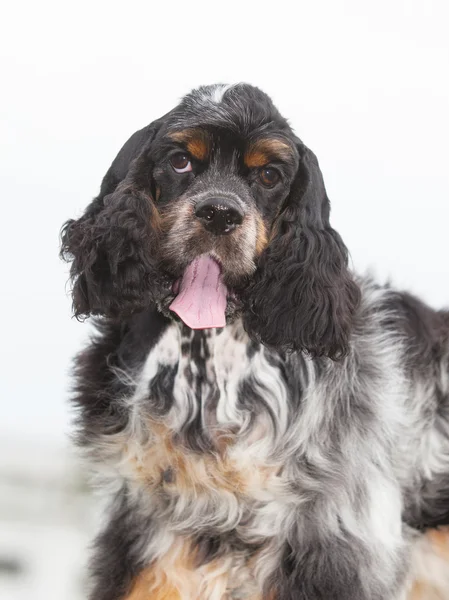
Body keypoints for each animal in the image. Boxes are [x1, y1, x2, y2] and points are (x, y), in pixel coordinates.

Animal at [60, 84, 448, 600]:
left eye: (268, 174)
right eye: (180, 161)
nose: (220, 214)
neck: (204, 364)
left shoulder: (334, 543)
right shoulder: (152, 529)